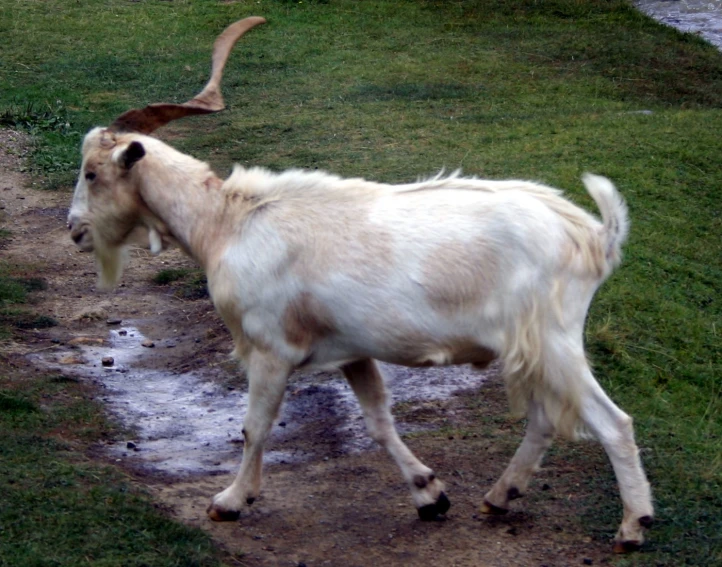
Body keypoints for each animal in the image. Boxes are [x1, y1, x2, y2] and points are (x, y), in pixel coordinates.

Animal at [67, 16, 652, 556]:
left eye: (92, 173)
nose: (73, 229)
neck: (227, 223)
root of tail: (592, 234)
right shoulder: (352, 350)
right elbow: (377, 422)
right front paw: (429, 494)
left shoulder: (271, 349)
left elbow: (256, 425)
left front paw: (231, 501)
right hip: (528, 346)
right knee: (544, 420)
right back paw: (498, 497)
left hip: (553, 339)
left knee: (612, 422)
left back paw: (632, 526)